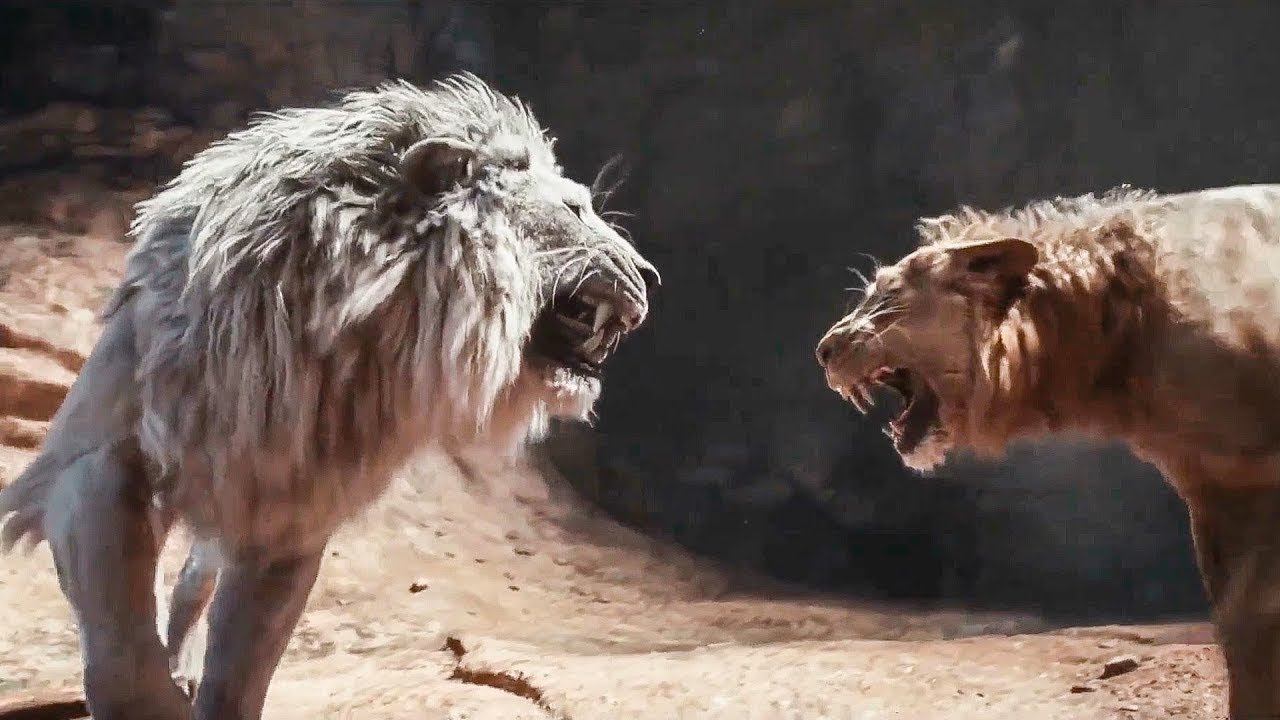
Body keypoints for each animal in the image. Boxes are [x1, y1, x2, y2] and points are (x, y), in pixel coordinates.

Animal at [0, 73, 658, 720]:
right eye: (575, 208)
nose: (648, 277)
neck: (345, 331)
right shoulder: (99, 461)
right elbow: (121, 644)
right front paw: (150, 695)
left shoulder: (292, 517)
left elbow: (242, 665)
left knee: (194, 576)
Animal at [815, 183, 1280, 719]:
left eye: (889, 294)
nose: (823, 350)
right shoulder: (1213, 494)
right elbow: (1236, 625)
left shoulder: (1258, 486)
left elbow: (1252, 618)